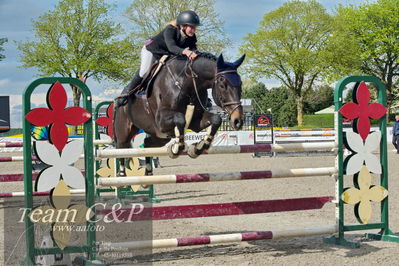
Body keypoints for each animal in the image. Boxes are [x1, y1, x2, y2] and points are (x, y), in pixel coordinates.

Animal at [113, 52, 247, 176]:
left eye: (241, 84)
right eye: (222, 85)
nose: (238, 120)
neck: (186, 83)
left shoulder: (195, 121)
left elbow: (216, 120)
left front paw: (197, 148)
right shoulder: (161, 121)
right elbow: (180, 118)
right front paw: (176, 148)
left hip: (160, 136)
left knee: (147, 144)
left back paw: (148, 174)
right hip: (125, 131)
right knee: (122, 148)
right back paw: (122, 174)